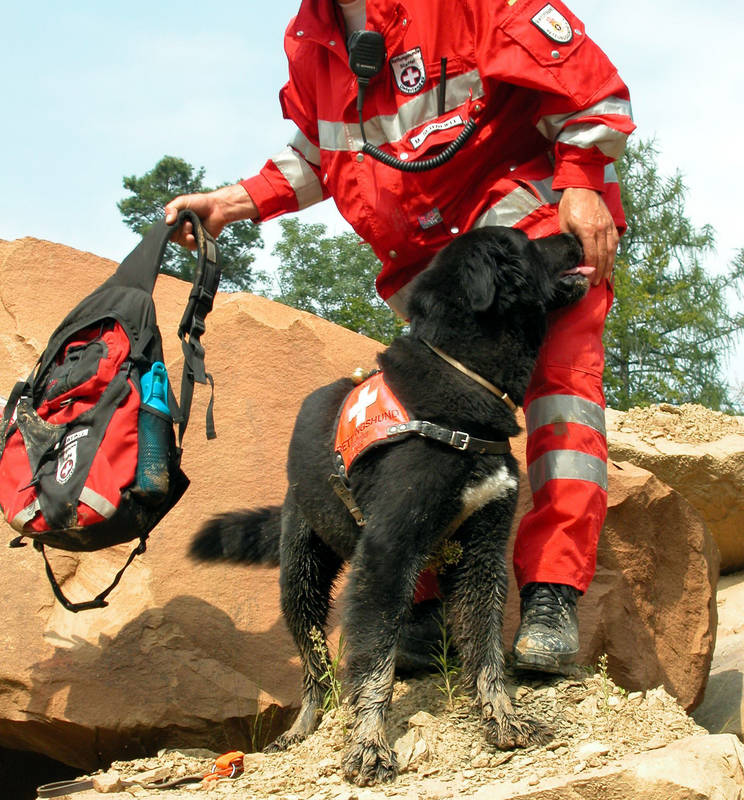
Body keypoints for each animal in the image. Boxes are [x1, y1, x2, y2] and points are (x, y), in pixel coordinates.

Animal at [190, 227, 588, 788]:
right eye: (529, 241)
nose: (577, 233)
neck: (462, 385)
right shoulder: (387, 553)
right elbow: (374, 659)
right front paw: (368, 745)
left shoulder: (481, 552)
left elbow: (486, 646)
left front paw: (502, 718)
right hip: (301, 578)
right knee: (315, 669)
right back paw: (304, 726)